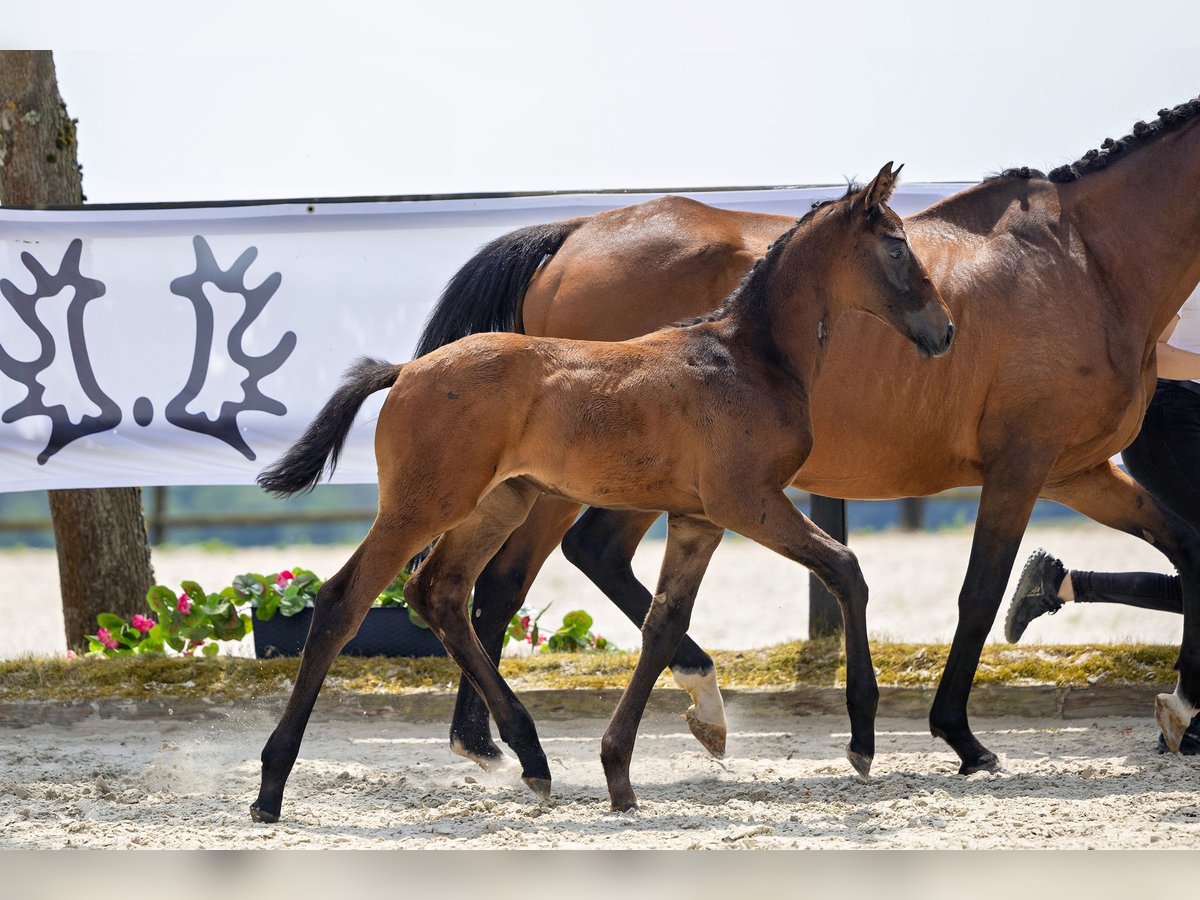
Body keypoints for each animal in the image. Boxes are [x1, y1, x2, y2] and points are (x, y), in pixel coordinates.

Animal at [250, 165, 955, 820]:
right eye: (897, 247)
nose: (945, 330)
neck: (746, 356)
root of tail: (405, 369)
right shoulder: (747, 501)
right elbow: (845, 569)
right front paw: (861, 739)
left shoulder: (698, 518)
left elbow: (665, 625)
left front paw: (623, 768)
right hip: (423, 505)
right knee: (343, 601)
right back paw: (271, 787)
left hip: (499, 502)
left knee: (440, 593)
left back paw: (530, 757)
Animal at [420, 97, 1200, 777]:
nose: (943, 332)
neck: (1087, 264)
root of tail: (572, 234)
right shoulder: (1021, 464)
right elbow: (978, 592)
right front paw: (961, 738)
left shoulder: (1078, 469)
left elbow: (1185, 548)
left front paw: (1183, 709)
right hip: (569, 480)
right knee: (504, 582)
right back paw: (494, 742)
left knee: (582, 558)